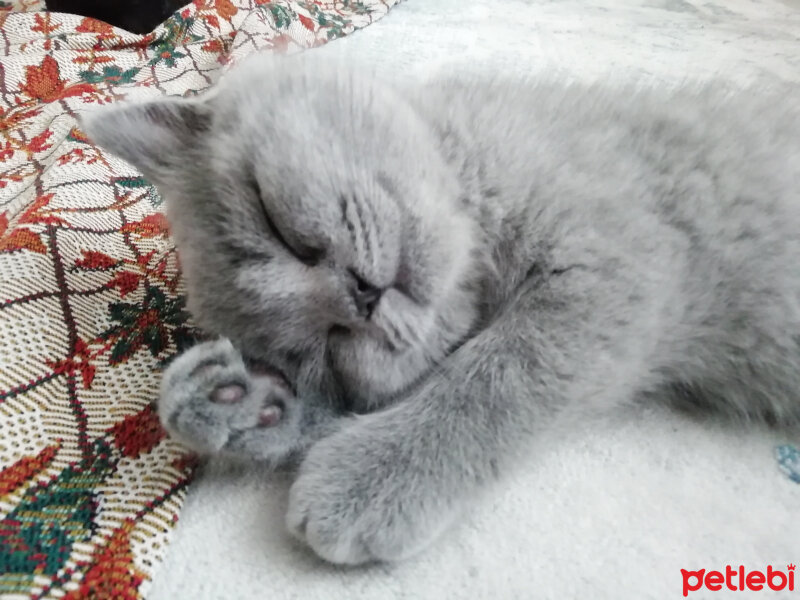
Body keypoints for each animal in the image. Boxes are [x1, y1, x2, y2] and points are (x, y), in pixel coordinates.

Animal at [81, 54, 800, 564]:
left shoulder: (619, 261)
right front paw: (240, 402)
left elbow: (497, 372)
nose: (359, 297)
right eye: (325, 350)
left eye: (274, 222)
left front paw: (371, 477)